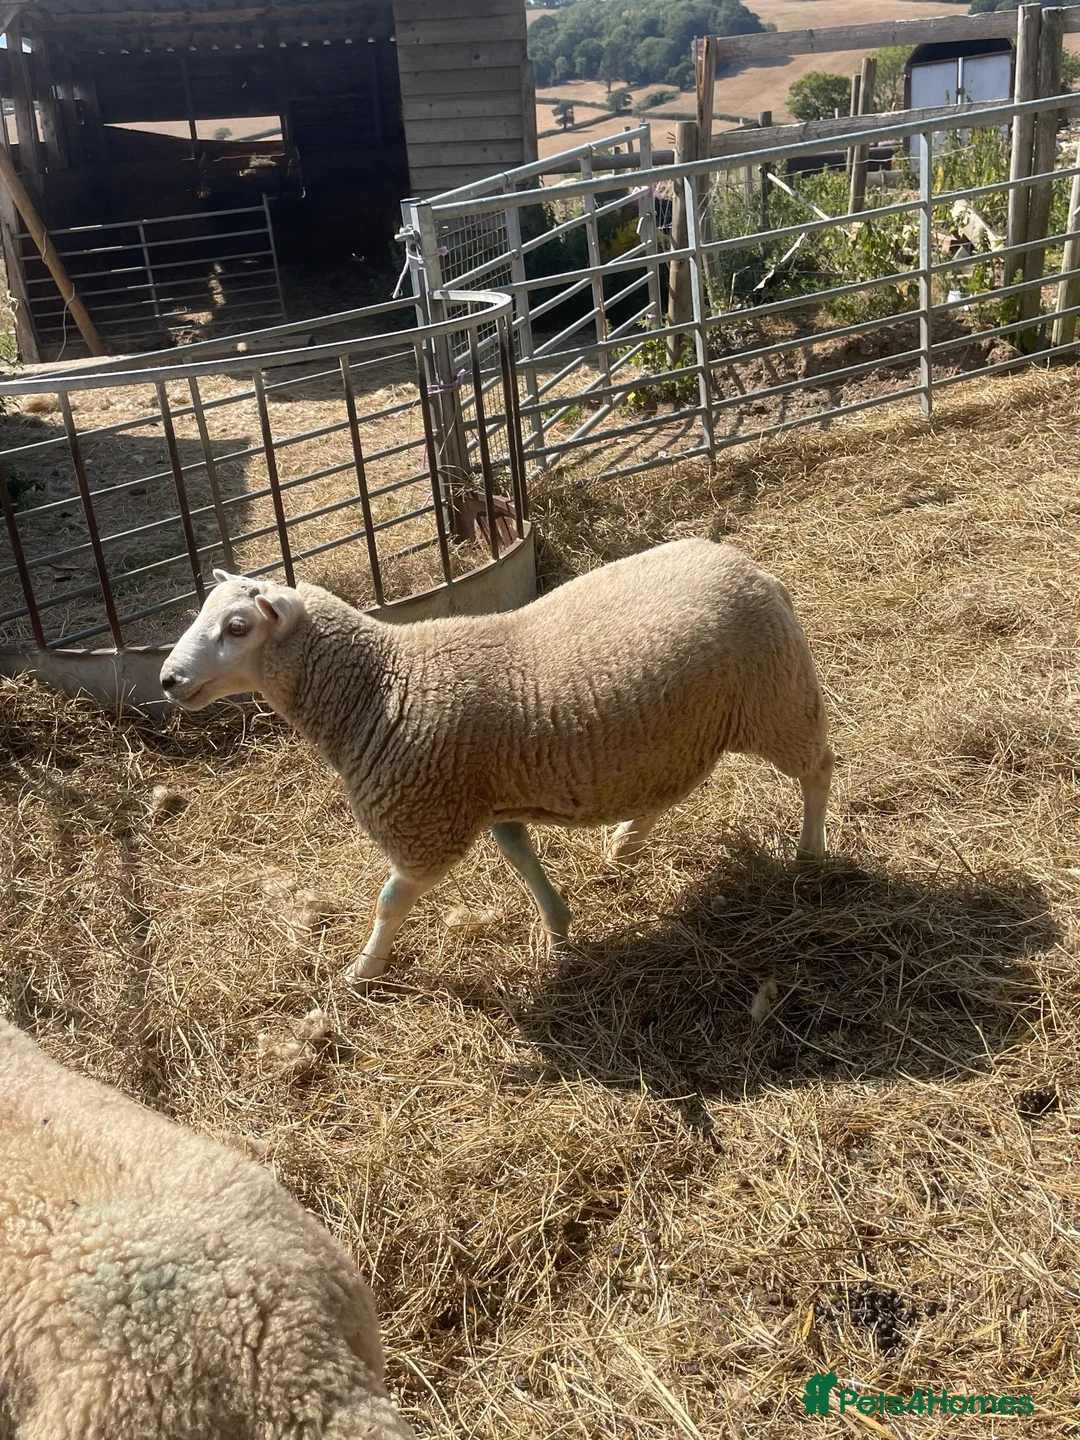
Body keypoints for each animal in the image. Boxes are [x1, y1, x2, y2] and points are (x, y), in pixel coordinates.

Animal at [160, 538, 833, 984]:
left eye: (238, 627)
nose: (167, 679)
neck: (382, 685)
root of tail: (756, 570)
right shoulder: (485, 797)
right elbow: (519, 856)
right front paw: (558, 927)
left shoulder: (427, 824)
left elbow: (391, 900)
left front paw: (364, 969)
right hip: (686, 727)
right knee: (674, 786)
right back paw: (626, 842)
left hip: (777, 697)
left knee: (818, 768)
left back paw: (810, 854)